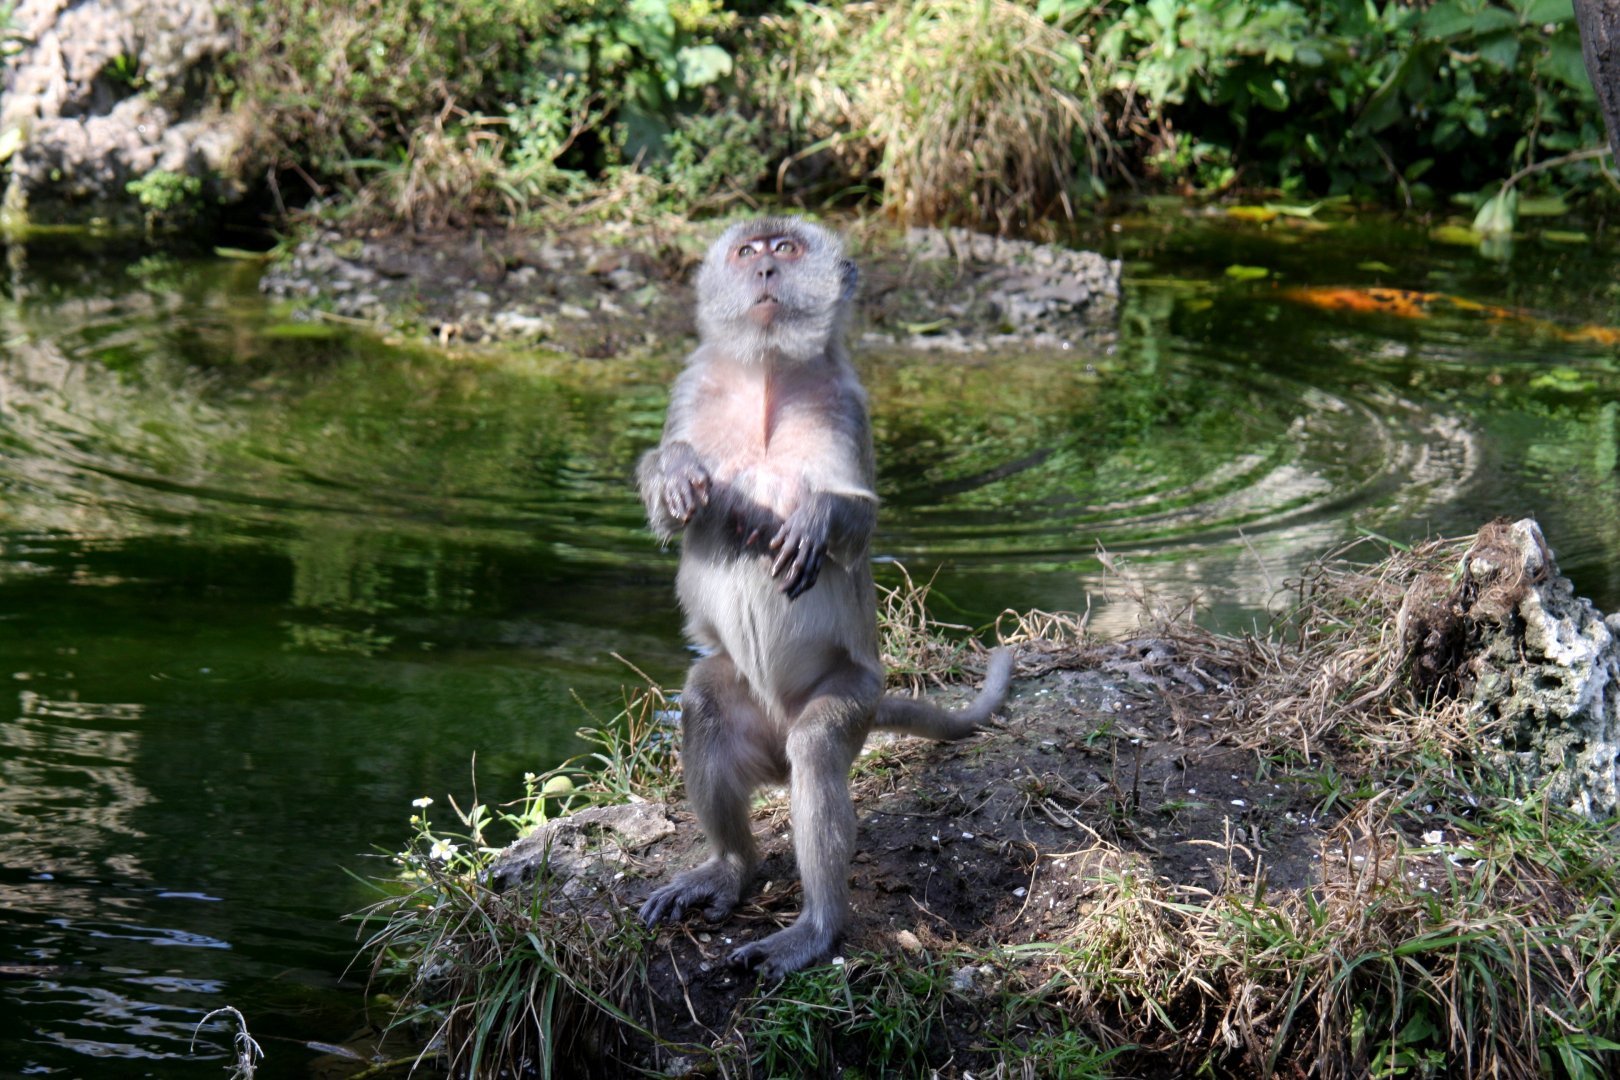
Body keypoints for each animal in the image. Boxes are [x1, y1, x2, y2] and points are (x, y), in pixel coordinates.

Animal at [636, 216, 1014, 980]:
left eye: (786, 249)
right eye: (748, 251)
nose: (765, 272)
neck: (767, 372)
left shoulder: (845, 400)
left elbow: (857, 518)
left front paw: (816, 516)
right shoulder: (691, 386)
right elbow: (670, 509)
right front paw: (676, 471)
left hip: (854, 696)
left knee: (815, 751)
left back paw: (818, 927)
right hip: (750, 710)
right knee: (706, 702)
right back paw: (731, 866)